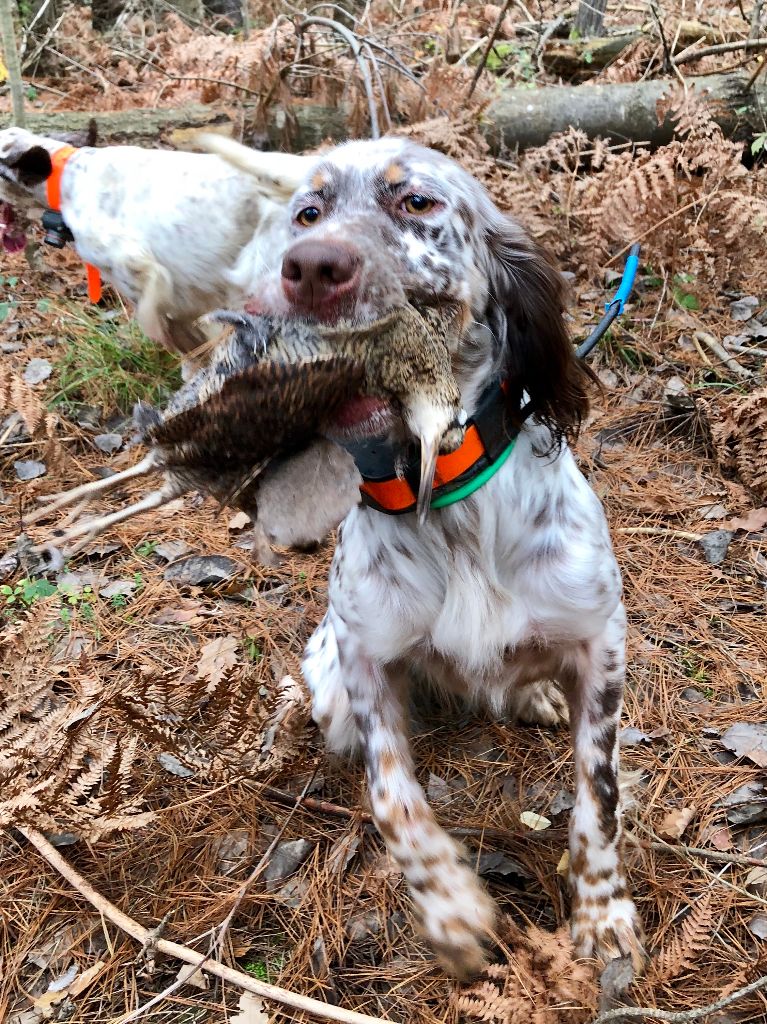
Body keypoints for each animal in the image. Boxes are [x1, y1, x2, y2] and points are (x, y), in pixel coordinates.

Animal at [245, 136, 638, 974]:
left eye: (416, 202)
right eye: (307, 213)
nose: (311, 267)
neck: (447, 493)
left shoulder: (601, 642)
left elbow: (598, 795)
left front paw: (602, 914)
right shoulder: (364, 658)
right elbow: (393, 799)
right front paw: (452, 907)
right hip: (328, 684)